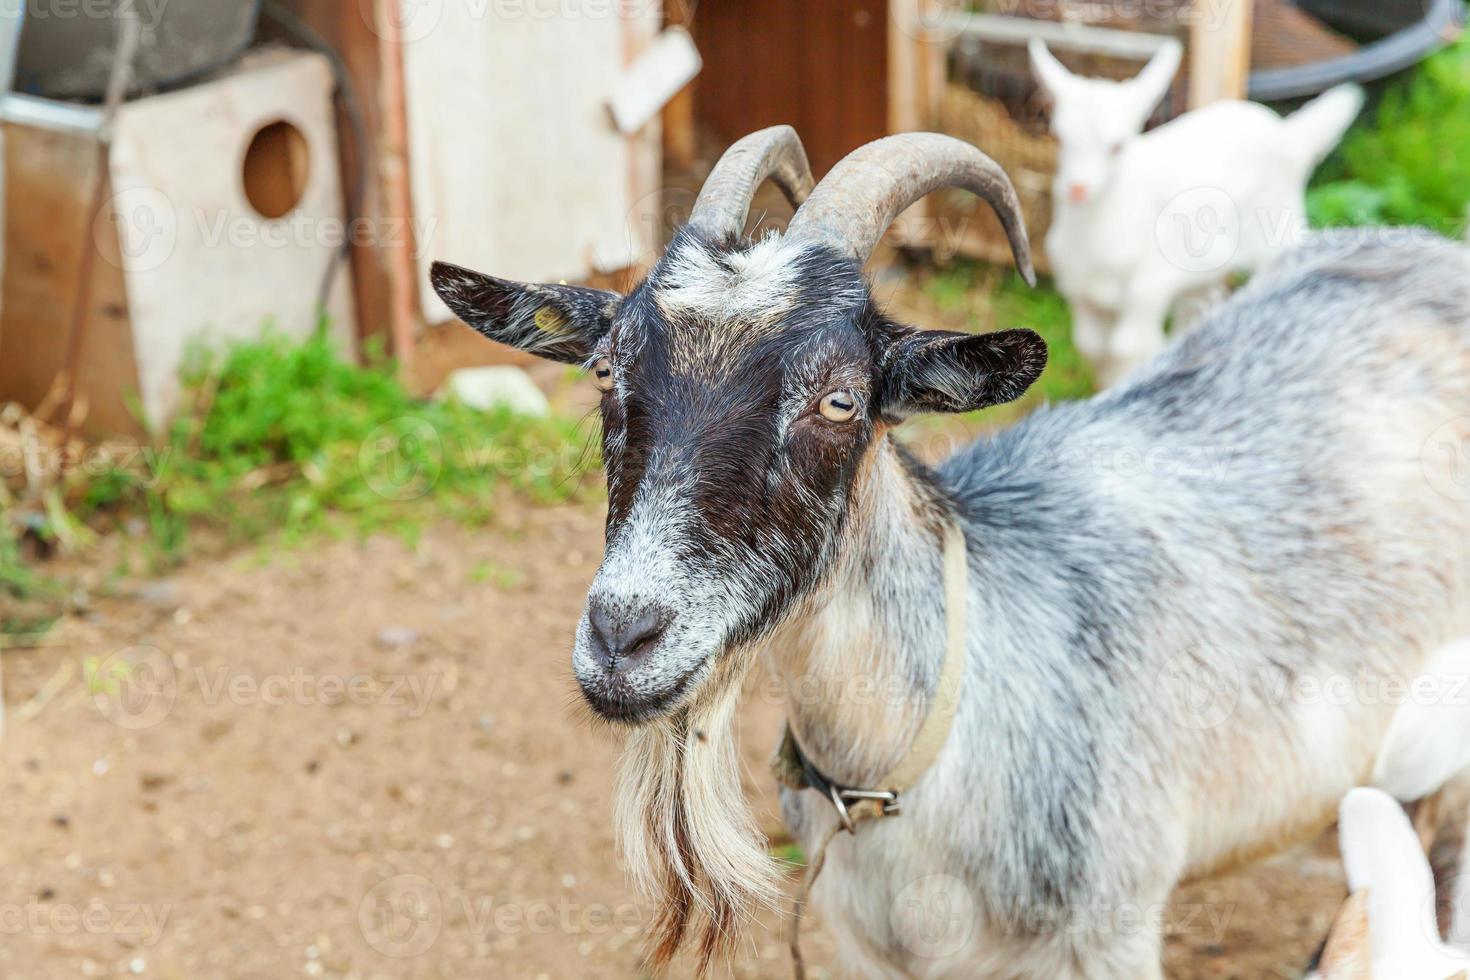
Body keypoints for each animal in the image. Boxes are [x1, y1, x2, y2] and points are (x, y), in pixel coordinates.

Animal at [1029, 38, 1358, 390]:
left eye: (1116, 146)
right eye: (1059, 137)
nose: (1077, 188)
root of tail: (1290, 135)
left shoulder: (1148, 289)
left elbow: (1128, 348)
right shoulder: (1080, 295)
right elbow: (1090, 346)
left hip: (1278, 231)